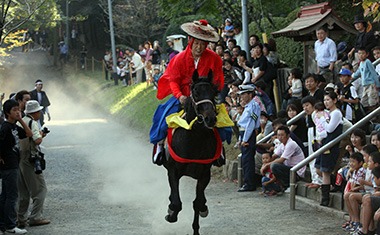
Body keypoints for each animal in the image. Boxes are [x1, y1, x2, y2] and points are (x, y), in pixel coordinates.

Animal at [163, 70, 220, 235]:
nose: (210, 118)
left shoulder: (204, 174)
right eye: (195, 92)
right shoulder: (173, 171)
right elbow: (176, 202)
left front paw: (199, 221)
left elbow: (198, 203)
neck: (195, 138)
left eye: (214, 92)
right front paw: (171, 213)